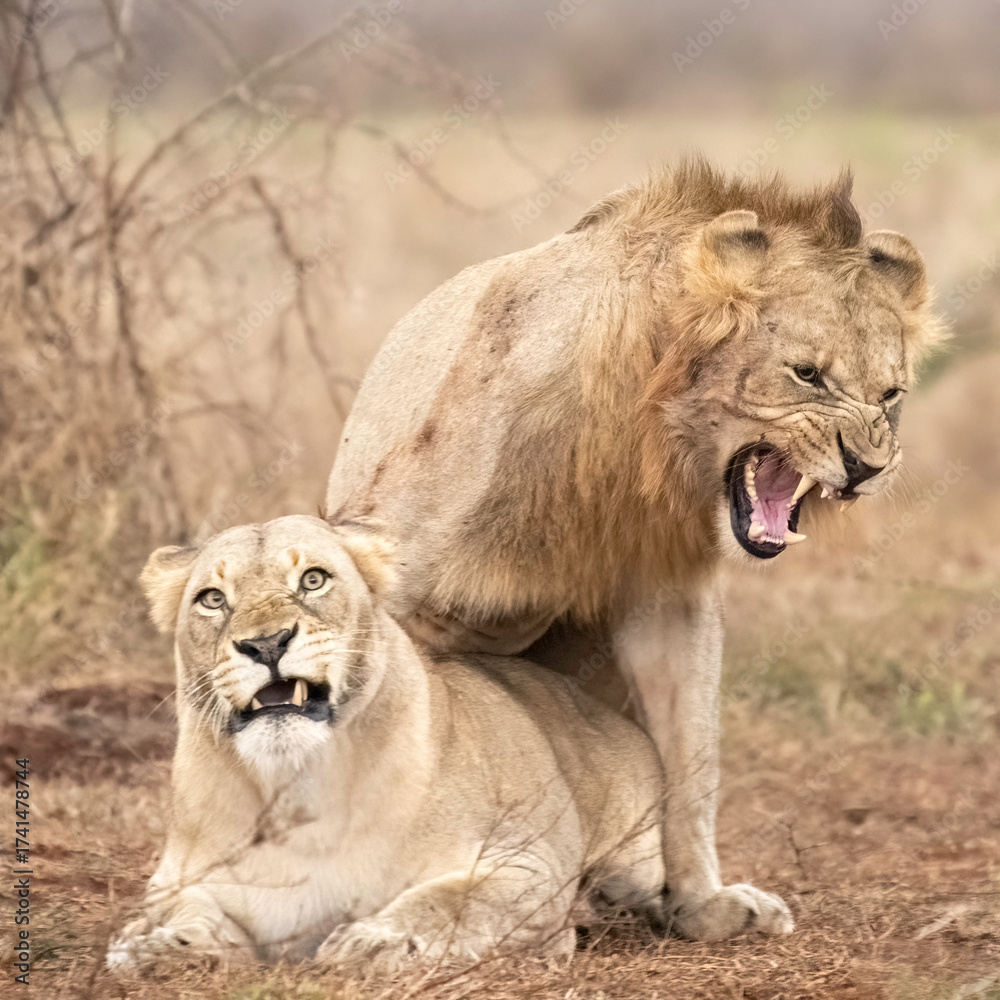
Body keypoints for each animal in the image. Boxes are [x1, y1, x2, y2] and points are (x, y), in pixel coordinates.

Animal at [106, 514, 666, 972]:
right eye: (213, 598)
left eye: (313, 579)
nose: (266, 644)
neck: (297, 786)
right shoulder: (179, 877)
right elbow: (186, 911)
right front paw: (149, 945)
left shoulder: (529, 865)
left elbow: (452, 901)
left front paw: (376, 941)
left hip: (636, 863)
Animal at [324, 158, 944, 941]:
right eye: (807, 374)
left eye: (890, 393)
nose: (868, 466)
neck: (640, 438)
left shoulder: (668, 594)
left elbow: (691, 756)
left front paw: (703, 905)